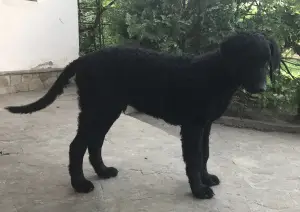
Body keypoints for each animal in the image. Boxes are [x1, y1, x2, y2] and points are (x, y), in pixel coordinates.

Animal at [5, 31, 282, 199]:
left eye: (265, 59)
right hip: (97, 109)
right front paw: (198, 190)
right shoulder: (192, 126)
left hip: (107, 110)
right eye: (248, 59)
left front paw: (206, 180)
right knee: (77, 145)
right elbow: (194, 159)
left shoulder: (205, 125)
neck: (217, 74)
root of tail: (83, 59)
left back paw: (103, 171)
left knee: (94, 142)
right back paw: (80, 184)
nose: (262, 88)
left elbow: (204, 155)